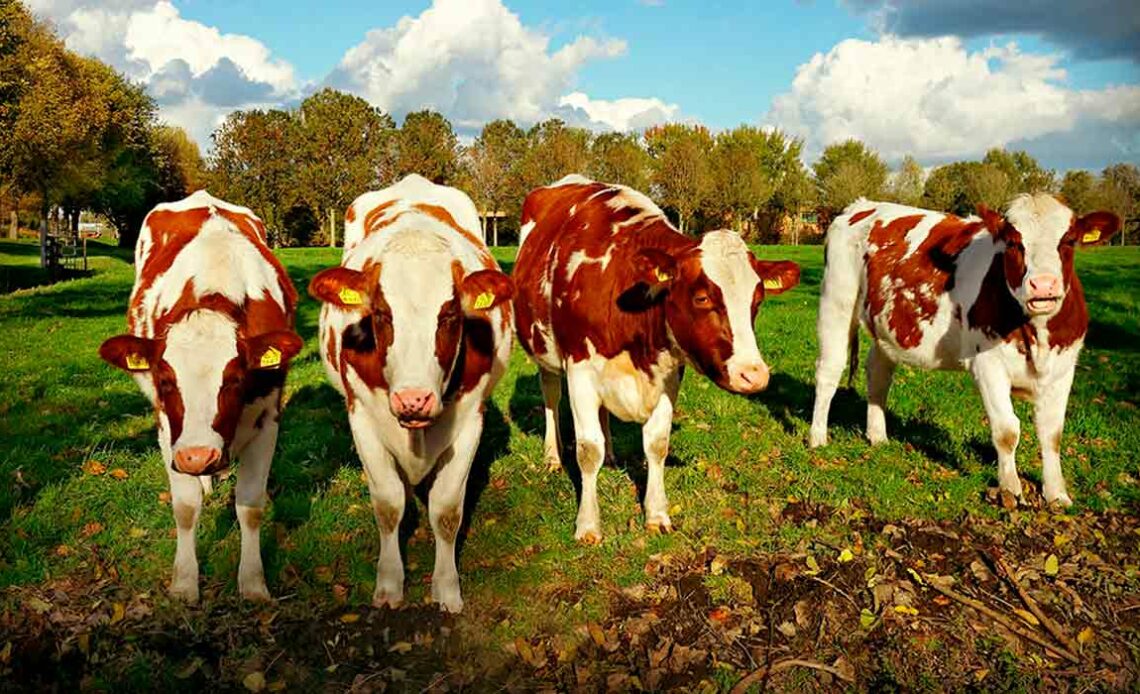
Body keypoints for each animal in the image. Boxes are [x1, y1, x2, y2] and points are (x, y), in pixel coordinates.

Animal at [98, 189, 303, 601]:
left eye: (236, 379)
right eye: (164, 380)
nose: (196, 456)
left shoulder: (268, 419)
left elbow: (250, 506)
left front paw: (253, 583)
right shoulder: (167, 429)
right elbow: (185, 507)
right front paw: (184, 582)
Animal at [307, 173, 513, 610]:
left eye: (449, 314)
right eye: (382, 313)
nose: (413, 400)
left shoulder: (471, 420)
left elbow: (447, 511)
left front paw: (447, 587)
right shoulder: (362, 418)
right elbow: (388, 504)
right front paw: (389, 583)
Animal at [517, 175, 802, 544]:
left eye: (757, 301)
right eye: (702, 297)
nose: (753, 375)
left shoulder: (668, 374)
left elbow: (656, 444)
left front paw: (656, 514)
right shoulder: (579, 368)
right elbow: (588, 451)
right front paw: (588, 525)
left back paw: (612, 456)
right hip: (545, 354)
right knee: (551, 398)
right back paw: (552, 456)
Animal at [811, 192, 1121, 505]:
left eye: (1069, 240)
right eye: (1013, 242)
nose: (1043, 285)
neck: (1037, 333)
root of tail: (860, 205)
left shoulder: (1063, 369)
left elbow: (1052, 434)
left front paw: (1057, 494)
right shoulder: (988, 364)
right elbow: (1007, 430)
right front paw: (1010, 489)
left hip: (886, 326)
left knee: (878, 374)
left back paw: (878, 436)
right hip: (836, 300)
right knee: (828, 372)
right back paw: (818, 437)